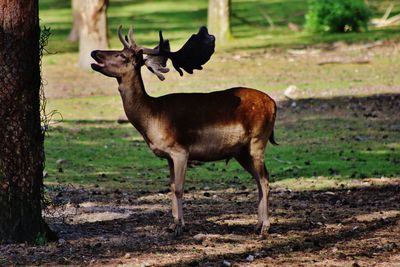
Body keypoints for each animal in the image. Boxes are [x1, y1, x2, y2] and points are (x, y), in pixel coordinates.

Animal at [90, 25, 278, 239]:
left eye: (122, 55)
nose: (94, 52)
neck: (152, 117)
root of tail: (274, 104)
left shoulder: (180, 150)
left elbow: (179, 188)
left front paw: (180, 227)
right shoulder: (168, 156)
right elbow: (171, 187)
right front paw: (172, 225)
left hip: (258, 141)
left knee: (265, 180)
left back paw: (265, 227)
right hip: (241, 151)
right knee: (259, 179)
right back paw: (257, 225)